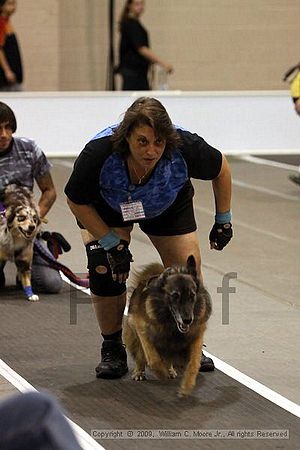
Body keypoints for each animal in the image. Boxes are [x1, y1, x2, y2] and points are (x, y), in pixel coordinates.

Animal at [123, 256, 212, 398]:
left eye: (192, 295)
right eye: (175, 296)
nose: (188, 320)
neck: (172, 324)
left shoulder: (196, 336)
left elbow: (193, 364)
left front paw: (187, 386)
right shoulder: (142, 329)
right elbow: (152, 358)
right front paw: (161, 373)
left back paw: (170, 370)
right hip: (133, 331)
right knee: (140, 355)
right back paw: (140, 372)